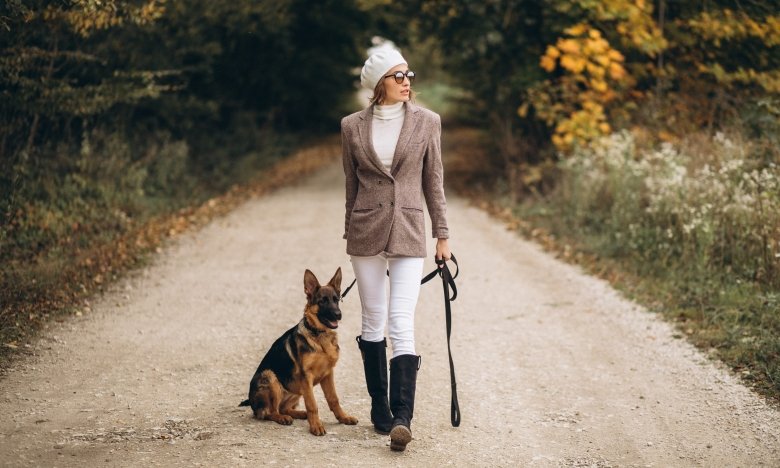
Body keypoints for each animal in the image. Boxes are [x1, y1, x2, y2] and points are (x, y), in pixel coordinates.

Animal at [239, 267, 358, 435]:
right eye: (322, 301)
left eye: (336, 299)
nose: (338, 315)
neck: (319, 335)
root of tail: (251, 401)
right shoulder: (306, 377)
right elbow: (312, 404)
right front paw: (316, 426)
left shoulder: (328, 374)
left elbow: (334, 399)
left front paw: (344, 418)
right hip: (270, 377)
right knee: (269, 412)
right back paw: (282, 418)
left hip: (297, 391)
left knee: (284, 408)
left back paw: (299, 414)